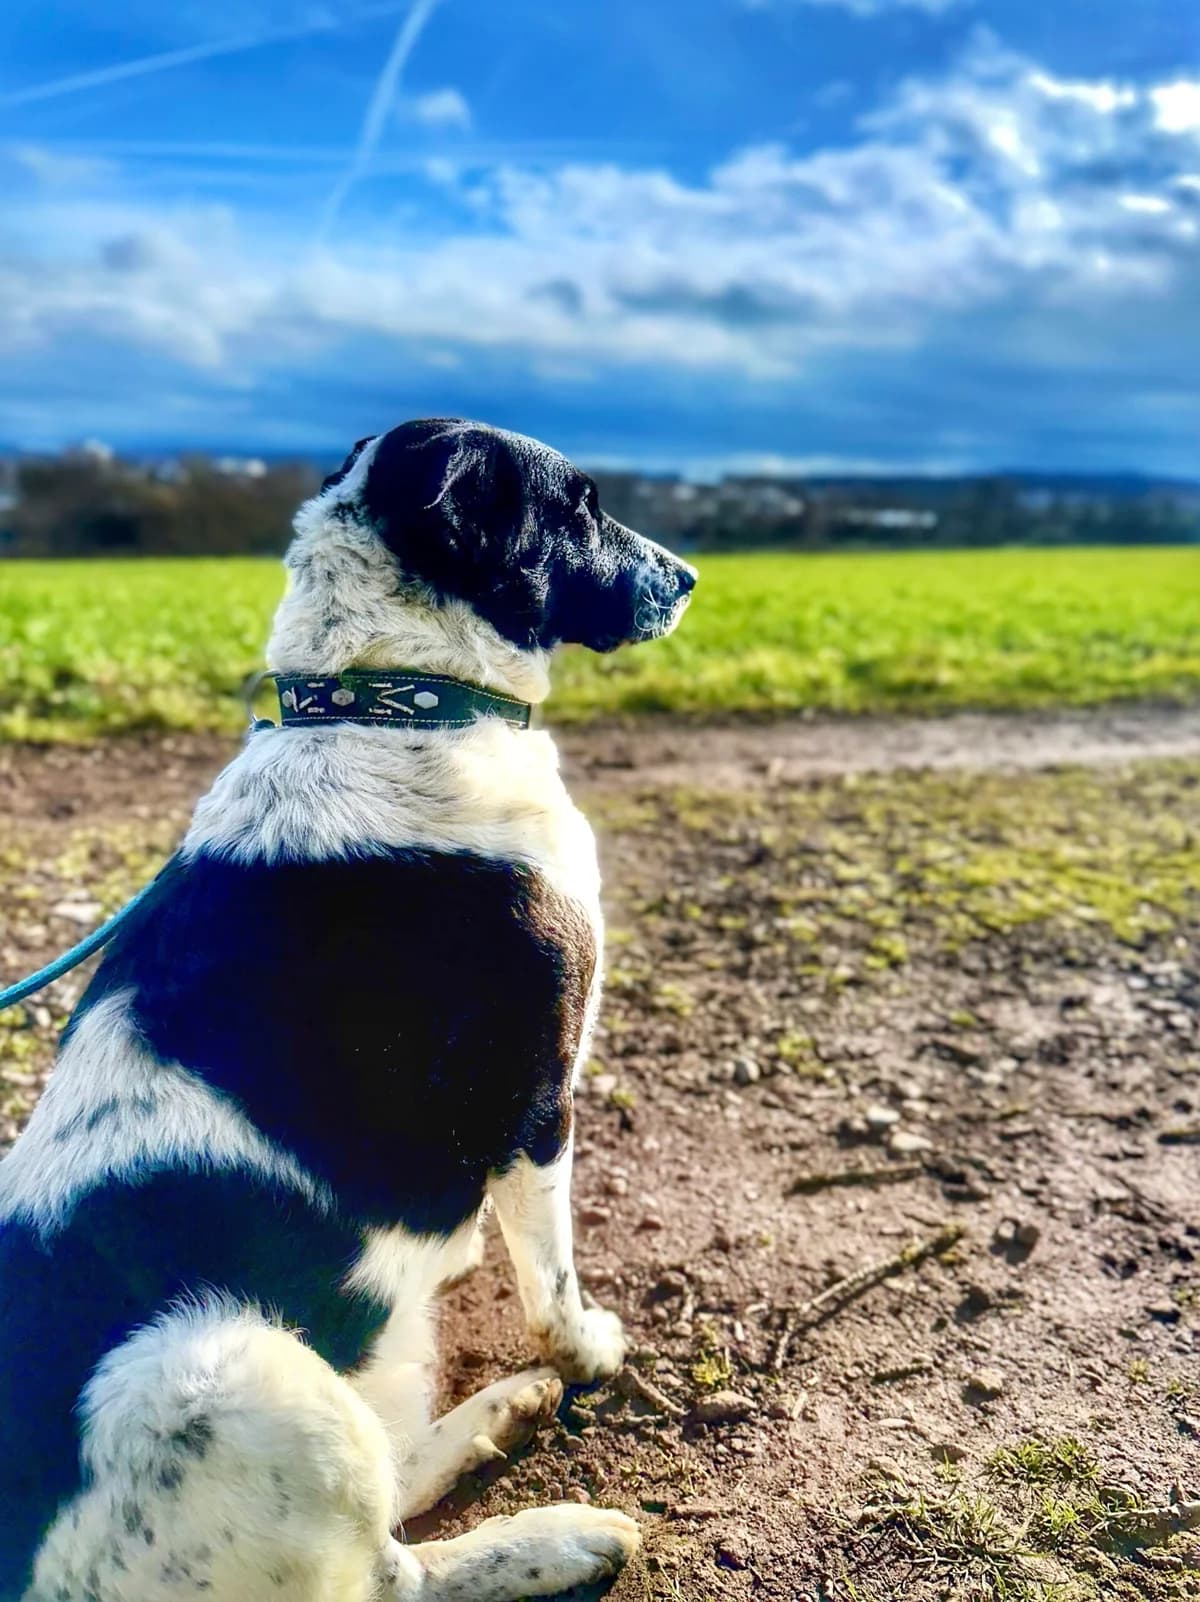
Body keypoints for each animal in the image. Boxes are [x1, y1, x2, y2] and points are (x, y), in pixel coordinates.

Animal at [0, 418, 696, 1602]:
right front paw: (588, 1352)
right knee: (392, 1575)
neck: (389, 699)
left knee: (391, 1485)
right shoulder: (536, 1102)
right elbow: (551, 1278)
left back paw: (500, 1414)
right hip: (229, 1373)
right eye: (581, 505)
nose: (688, 578)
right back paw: (560, 1534)